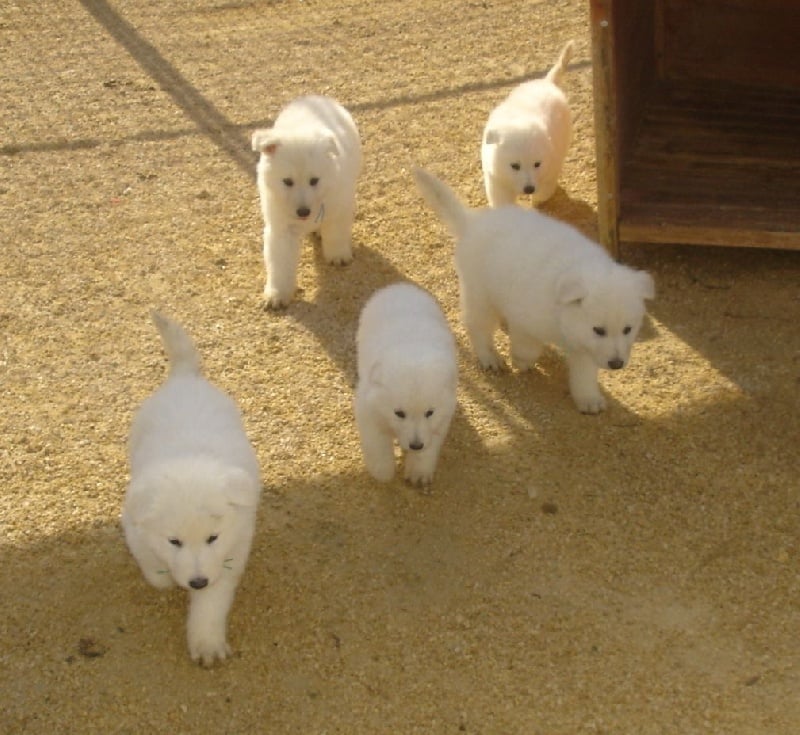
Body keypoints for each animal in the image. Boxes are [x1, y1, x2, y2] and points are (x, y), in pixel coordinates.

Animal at [122, 312, 260, 668]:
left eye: (213, 537)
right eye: (174, 541)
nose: (197, 582)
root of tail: (184, 379)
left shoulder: (230, 554)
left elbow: (211, 603)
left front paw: (206, 643)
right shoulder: (133, 526)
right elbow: (153, 568)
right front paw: (165, 578)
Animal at [252, 94, 360, 308]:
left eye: (314, 180)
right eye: (287, 181)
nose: (303, 212)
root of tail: (315, 97)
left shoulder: (339, 206)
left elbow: (335, 233)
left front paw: (337, 256)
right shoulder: (281, 229)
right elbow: (280, 263)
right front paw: (277, 294)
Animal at [354, 284, 460, 486]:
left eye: (429, 412)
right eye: (399, 413)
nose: (416, 445)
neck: (412, 350)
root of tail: (400, 287)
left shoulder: (443, 415)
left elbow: (431, 443)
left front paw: (418, 473)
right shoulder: (368, 407)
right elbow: (377, 441)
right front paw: (383, 472)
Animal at [412, 169, 656, 416]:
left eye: (628, 329)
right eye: (599, 330)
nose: (616, 364)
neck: (560, 311)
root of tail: (472, 223)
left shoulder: (584, 344)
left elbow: (584, 374)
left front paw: (588, 399)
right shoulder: (525, 319)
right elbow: (528, 347)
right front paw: (521, 361)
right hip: (480, 295)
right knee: (478, 327)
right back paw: (489, 357)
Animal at [482, 41, 576, 207]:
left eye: (537, 164)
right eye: (515, 166)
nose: (529, 189)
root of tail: (547, 83)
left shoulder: (551, 167)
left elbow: (544, 190)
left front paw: (536, 201)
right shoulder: (496, 179)